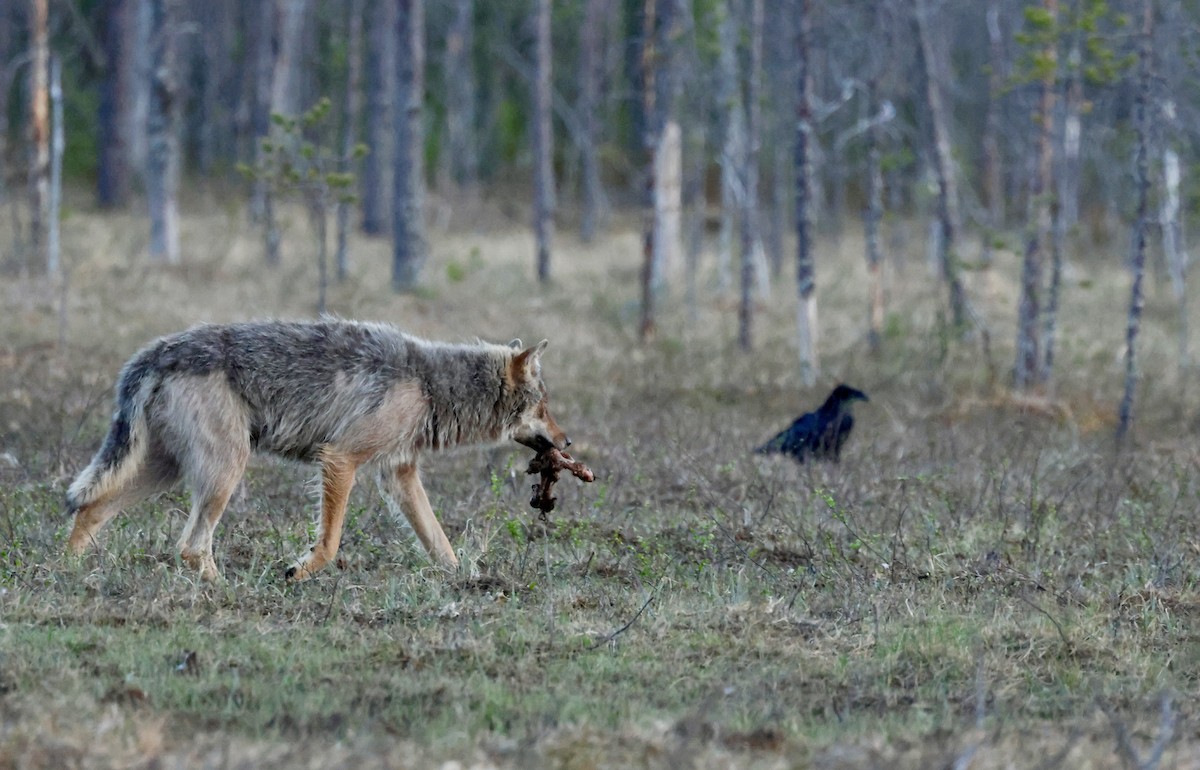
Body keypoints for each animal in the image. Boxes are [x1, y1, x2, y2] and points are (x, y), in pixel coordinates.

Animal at [66, 320, 569, 582]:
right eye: (544, 406)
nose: (567, 443)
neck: (431, 386)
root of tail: (157, 351)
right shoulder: (341, 459)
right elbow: (328, 544)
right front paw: (298, 572)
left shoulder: (399, 474)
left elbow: (439, 542)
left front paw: (466, 581)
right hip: (225, 471)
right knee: (189, 546)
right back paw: (228, 589)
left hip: (166, 471)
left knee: (91, 507)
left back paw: (67, 567)